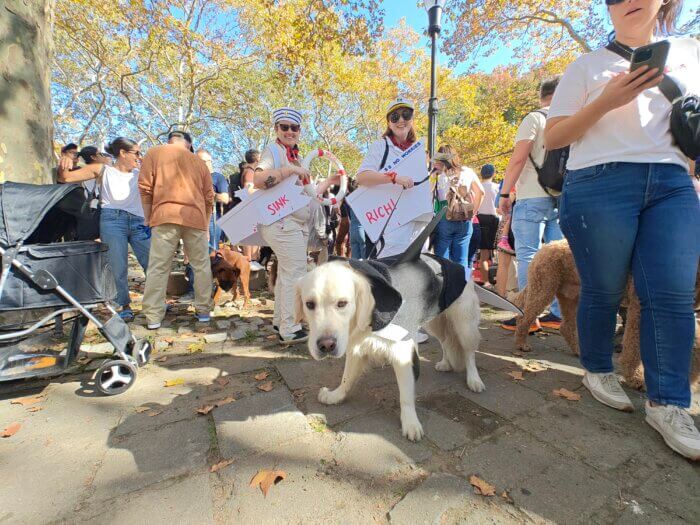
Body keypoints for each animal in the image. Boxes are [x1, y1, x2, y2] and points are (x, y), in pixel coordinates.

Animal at [292, 256, 484, 438]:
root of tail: (456, 263)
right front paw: (336, 395)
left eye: (342, 303)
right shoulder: (357, 347)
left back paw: (474, 380)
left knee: (469, 353)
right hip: (434, 322)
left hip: (464, 325)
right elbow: (346, 378)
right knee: (445, 342)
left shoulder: (403, 351)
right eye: (309, 304)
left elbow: (405, 395)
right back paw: (445, 363)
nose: (326, 346)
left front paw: (410, 423)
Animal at [512, 239, 696, 390]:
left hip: (570, 296)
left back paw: (579, 351)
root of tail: (547, 246)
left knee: (566, 326)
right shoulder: (639, 309)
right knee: (524, 317)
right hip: (545, 287)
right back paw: (521, 343)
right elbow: (634, 348)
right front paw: (635, 378)